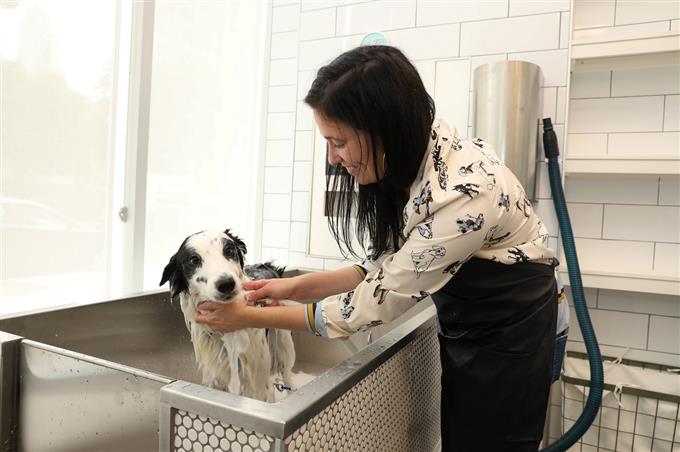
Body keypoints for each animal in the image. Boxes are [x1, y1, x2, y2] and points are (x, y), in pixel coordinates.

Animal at [159, 229, 296, 402]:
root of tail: (267, 265)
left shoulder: (261, 385)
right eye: (193, 260)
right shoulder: (214, 376)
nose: (226, 284)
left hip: (284, 346)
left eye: (229, 250)